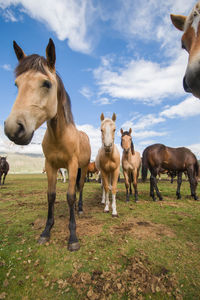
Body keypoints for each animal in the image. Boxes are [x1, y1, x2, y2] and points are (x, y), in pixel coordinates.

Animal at [4, 38, 91, 252]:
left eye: (46, 83)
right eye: (17, 84)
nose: (13, 128)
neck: (59, 136)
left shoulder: (72, 166)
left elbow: (70, 196)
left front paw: (73, 236)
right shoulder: (50, 165)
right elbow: (50, 196)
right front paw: (46, 230)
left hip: (83, 167)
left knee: (80, 188)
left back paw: (80, 209)